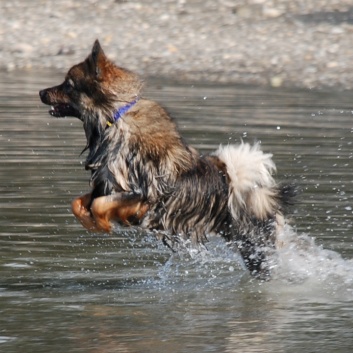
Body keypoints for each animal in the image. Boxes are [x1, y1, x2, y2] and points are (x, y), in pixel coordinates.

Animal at [39, 40, 294, 278]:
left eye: (68, 85)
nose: (41, 92)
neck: (113, 119)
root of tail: (257, 191)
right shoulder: (106, 183)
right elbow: (79, 203)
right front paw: (91, 221)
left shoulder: (143, 194)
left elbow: (99, 205)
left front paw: (103, 223)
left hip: (253, 246)